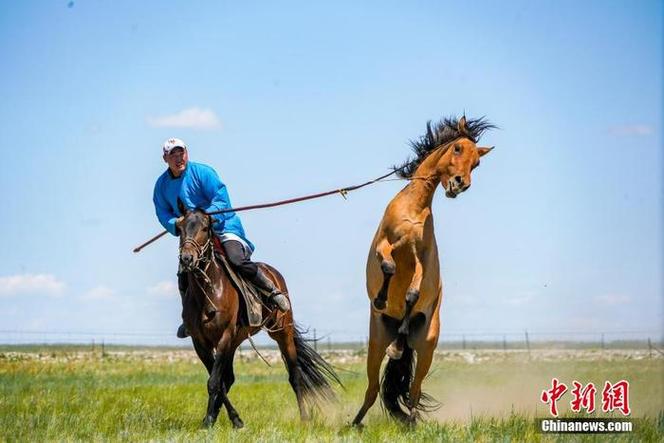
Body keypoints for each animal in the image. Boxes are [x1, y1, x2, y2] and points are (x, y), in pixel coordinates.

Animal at [176, 208, 341, 428]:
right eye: (180, 228)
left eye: (204, 228)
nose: (187, 259)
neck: (209, 290)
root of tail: (273, 272)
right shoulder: (200, 343)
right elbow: (218, 381)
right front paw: (226, 419)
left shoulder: (224, 337)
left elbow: (214, 381)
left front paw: (210, 420)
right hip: (236, 341)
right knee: (228, 378)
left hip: (282, 333)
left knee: (295, 375)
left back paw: (304, 417)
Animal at [352, 116, 494, 425]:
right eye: (457, 148)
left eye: (477, 162)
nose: (460, 184)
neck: (413, 209)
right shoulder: (384, 244)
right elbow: (388, 265)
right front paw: (380, 298)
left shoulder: (422, 260)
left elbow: (412, 293)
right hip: (375, 344)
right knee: (371, 389)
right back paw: (355, 422)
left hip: (427, 347)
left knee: (414, 390)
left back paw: (411, 420)